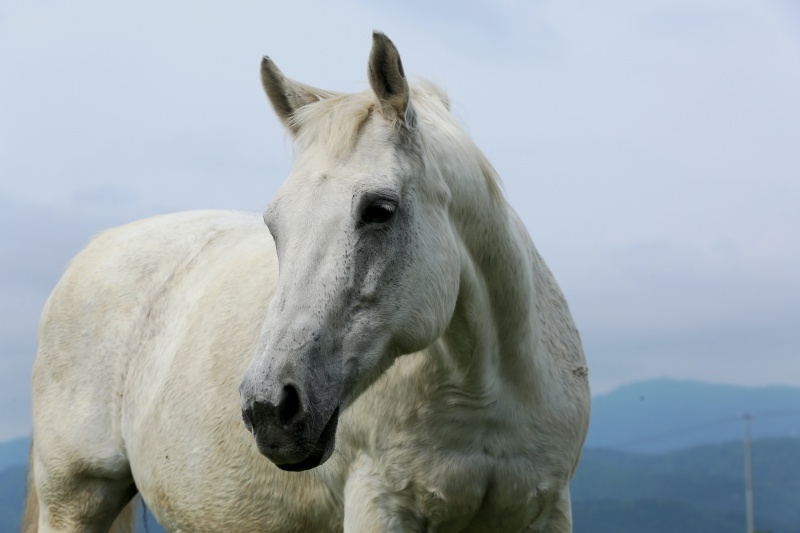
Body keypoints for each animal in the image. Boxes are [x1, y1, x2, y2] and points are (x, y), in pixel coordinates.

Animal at [23, 33, 588, 532]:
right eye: (274, 224)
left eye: (380, 209)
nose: (270, 409)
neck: (484, 397)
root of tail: (92, 250)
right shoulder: (379, 506)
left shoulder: (549, 509)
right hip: (76, 499)